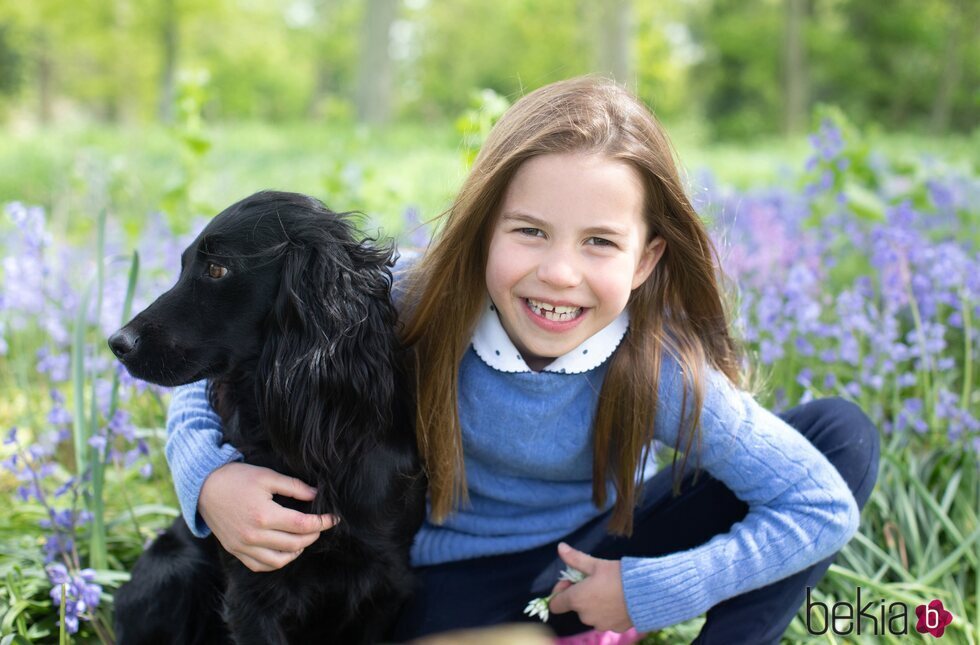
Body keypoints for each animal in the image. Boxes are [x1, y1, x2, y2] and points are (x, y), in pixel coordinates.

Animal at [109, 191, 426, 644]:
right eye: (183, 264)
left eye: (217, 268)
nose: (117, 343)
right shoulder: (253, 588)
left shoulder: (386, 582)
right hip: (171, 569)